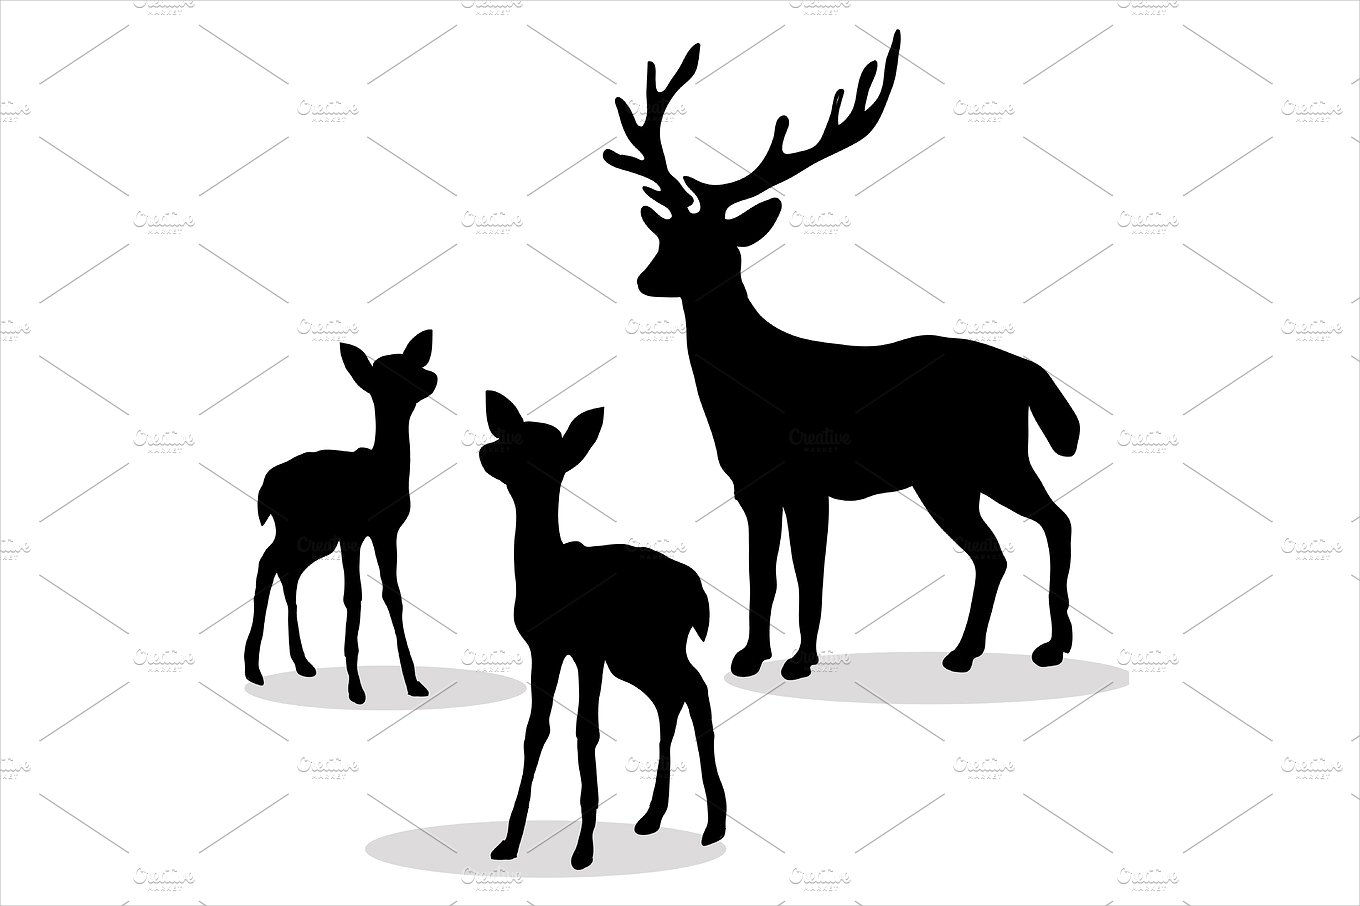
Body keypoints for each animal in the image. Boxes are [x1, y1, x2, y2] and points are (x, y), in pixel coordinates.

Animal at [245, 330, 438, 705]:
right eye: (386, 374)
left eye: (412, 363)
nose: (431, 377)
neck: (385, 473)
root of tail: (264, 488)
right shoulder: (352, 533)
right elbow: (353, 596)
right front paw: (356, 688)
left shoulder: (387, 531)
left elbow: (392, 595)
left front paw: (413, 682)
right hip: (295, 528)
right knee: (267, 562)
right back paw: (253, 669)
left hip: (313, 538)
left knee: (286, 570)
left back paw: (303, 663)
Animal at [479, 390, 726, 871]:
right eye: (508, 432)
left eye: (543, 448)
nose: (488, 450)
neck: (546, 574)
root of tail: (698, 593)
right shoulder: (544, 646)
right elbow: (535, 731)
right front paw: (509, 842)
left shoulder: (587, 648)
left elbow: (586, 731)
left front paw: (583, 850)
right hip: (636, 657)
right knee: (671, 697)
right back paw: (651, 818)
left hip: (654, 645)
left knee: (695, 688)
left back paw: (714, 826)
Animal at [604, 31, 1081, 680]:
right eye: (664, 235)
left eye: (713, 243)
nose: (647, 280)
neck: (751, 387)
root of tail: (1029, 373)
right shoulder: (752, 485)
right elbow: (763, 573)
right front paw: (750, 657)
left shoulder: (809, 478)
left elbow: (811, 574)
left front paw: (799, 661)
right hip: (952, 477)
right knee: (995, 551)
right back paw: (968, 653)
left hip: (991, 456)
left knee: (1052, 522)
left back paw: (1049, 646)